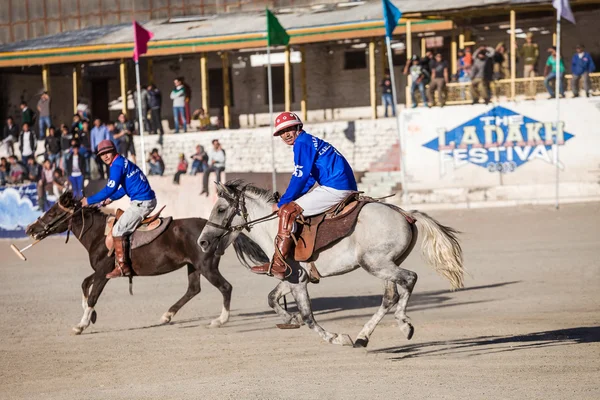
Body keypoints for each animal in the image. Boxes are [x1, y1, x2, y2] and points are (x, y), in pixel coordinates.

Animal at [24, 191, 266, 334]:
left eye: (52, 212)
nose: (30, 228)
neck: (99, 235)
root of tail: (218, 230)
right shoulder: (102, 271)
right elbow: (84, 284)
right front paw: (90, 315)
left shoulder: (103, 272)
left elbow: (92, 295)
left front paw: (82, 324)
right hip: (194, 266)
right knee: (193, 289)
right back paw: (167, 315)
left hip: (206, 266)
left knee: (225, 287)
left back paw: (220, 320)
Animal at [197, 181, 464, 346]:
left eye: (220, 209)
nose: (202, 241)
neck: (273, 227)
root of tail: (406, 214)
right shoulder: (293, 277)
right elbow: (273, 299)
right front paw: (290, 319)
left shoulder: (297, 280)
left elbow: (308, 316)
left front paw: (337, 338)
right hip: (386, 265)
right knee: (390, 297)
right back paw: (363, 337)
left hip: (376, 264)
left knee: (409, 279)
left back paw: (403, 324)